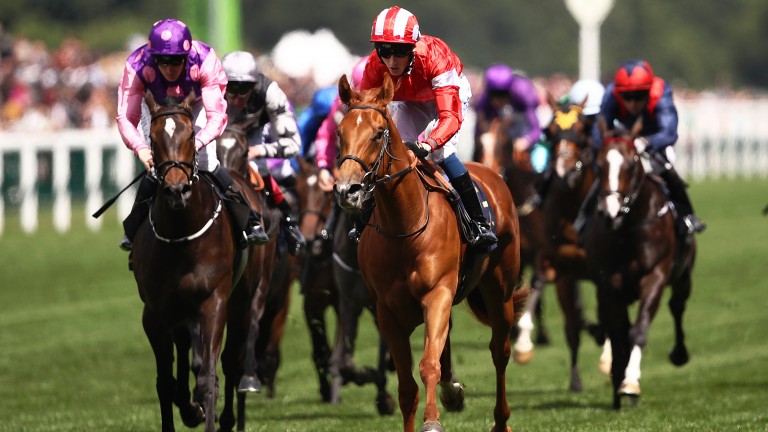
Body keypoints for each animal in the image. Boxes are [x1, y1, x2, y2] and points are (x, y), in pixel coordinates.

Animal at [131, 89, 246, 430]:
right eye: (153, 139)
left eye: (192, 135)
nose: (176, 190)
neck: (182, 235)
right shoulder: (156, 313)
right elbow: (165, 382)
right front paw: (188, 409)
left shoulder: (213, 303)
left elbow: (208, 378)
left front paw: (203, 410)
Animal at [334, 74, 528, 432]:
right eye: (340, 132)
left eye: (378, 133)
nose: (346, 190)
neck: (404, 225)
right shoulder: (387, 310)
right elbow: (406, 386)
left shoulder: (437, 293)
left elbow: (428, 365)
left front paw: (432, 421)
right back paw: (453, 392)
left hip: (500, 289)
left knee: (500, 350)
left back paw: (501, 420)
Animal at [584, 118, 696, 408]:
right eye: (598, 165)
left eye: (632, 163)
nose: (610, 212)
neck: (629, 229)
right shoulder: (609, 285)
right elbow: (618, 335)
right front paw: (617, 382)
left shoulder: (654, 276)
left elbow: (637, 332)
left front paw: (630, 384)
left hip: (684, 275)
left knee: (677, 306)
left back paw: (679, 353)